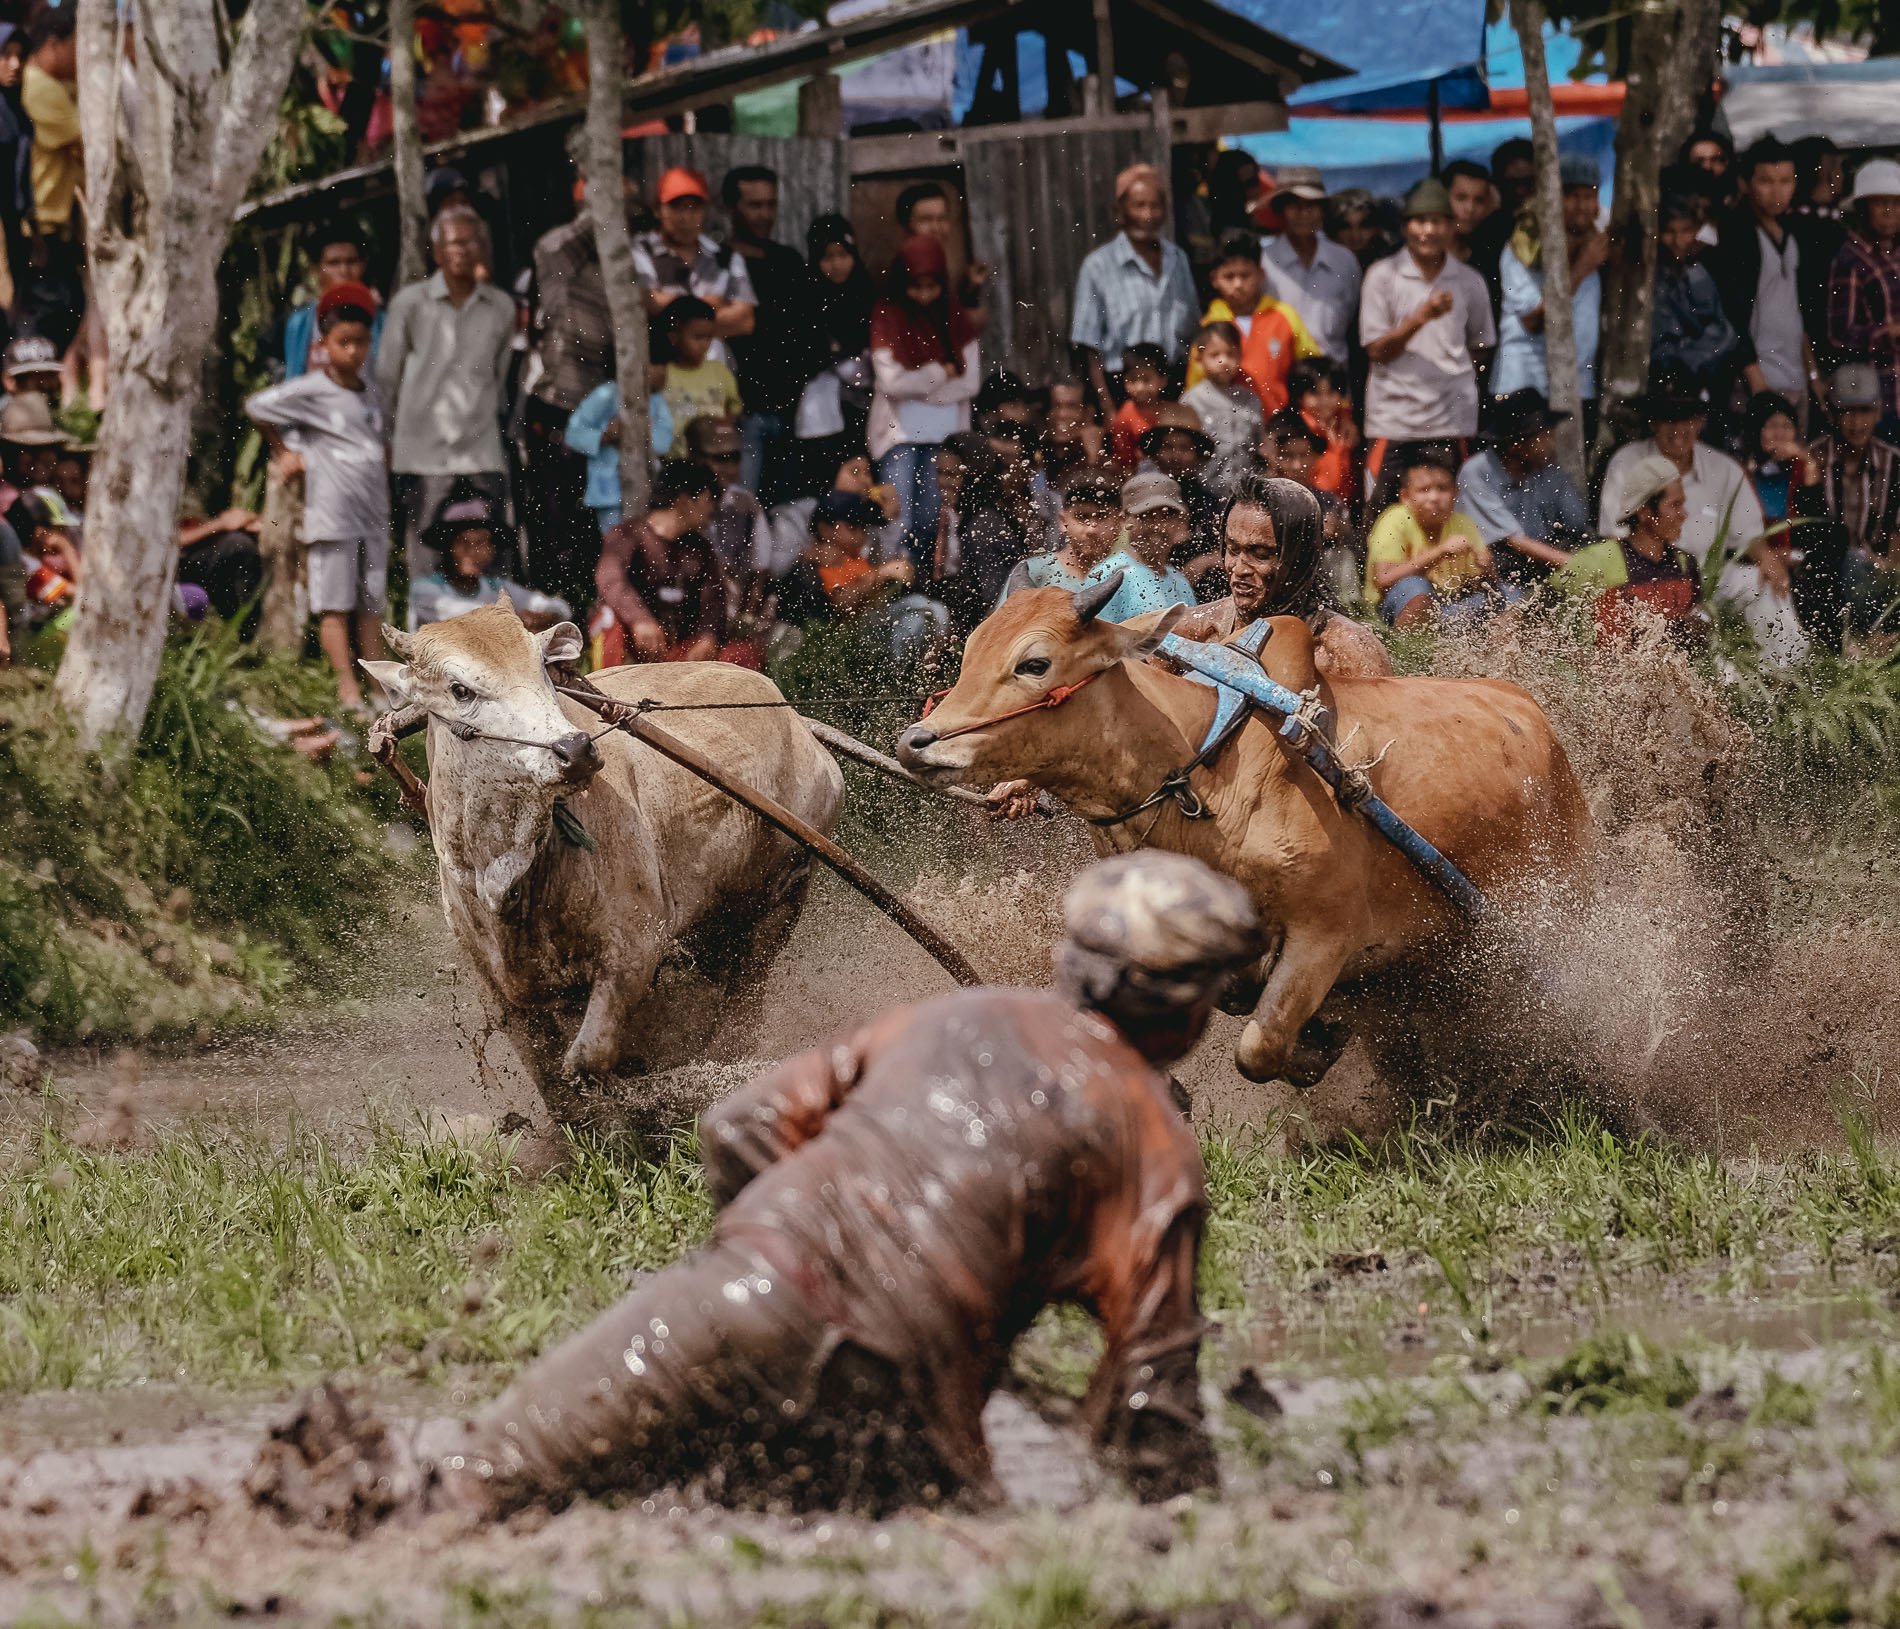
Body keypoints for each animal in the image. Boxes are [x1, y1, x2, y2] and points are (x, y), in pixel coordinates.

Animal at [366, 600, 843, 1132]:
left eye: (542, 668)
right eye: (460, 689)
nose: (574, 750)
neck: (506, 871)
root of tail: (793, 720)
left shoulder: (634, 950)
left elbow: (587, 1062)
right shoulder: (501, 993)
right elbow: (557, 1090)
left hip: (781, 900)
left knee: (741, 1011)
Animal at [889, 577, 1588, 1087]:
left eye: (1034, 662)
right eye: (971, 651)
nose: (916, 742)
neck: (1200, 763)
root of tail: (1537, 721)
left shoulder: (1325, 933)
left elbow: (1260, 1047)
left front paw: (1316, 1048)